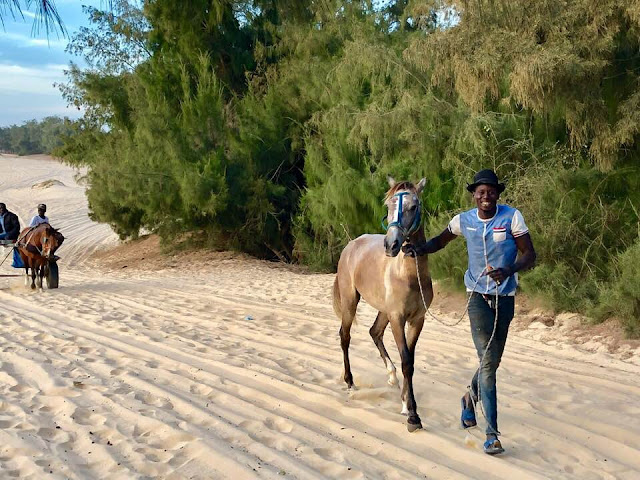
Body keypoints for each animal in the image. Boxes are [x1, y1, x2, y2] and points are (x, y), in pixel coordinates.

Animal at [332, 176, 432, 432]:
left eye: (413, 206)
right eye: (388, 206)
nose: (391, 245)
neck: (409, 275)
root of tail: (351, 245)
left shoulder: (417, 320)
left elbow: (410, 360)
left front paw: (406, 403)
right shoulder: (397, 318)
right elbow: (406, 360)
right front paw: (413, 415)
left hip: (383, 311)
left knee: (374, 332)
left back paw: (391, 375)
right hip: (350, 301)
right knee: (345, 336)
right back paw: (350, 382)